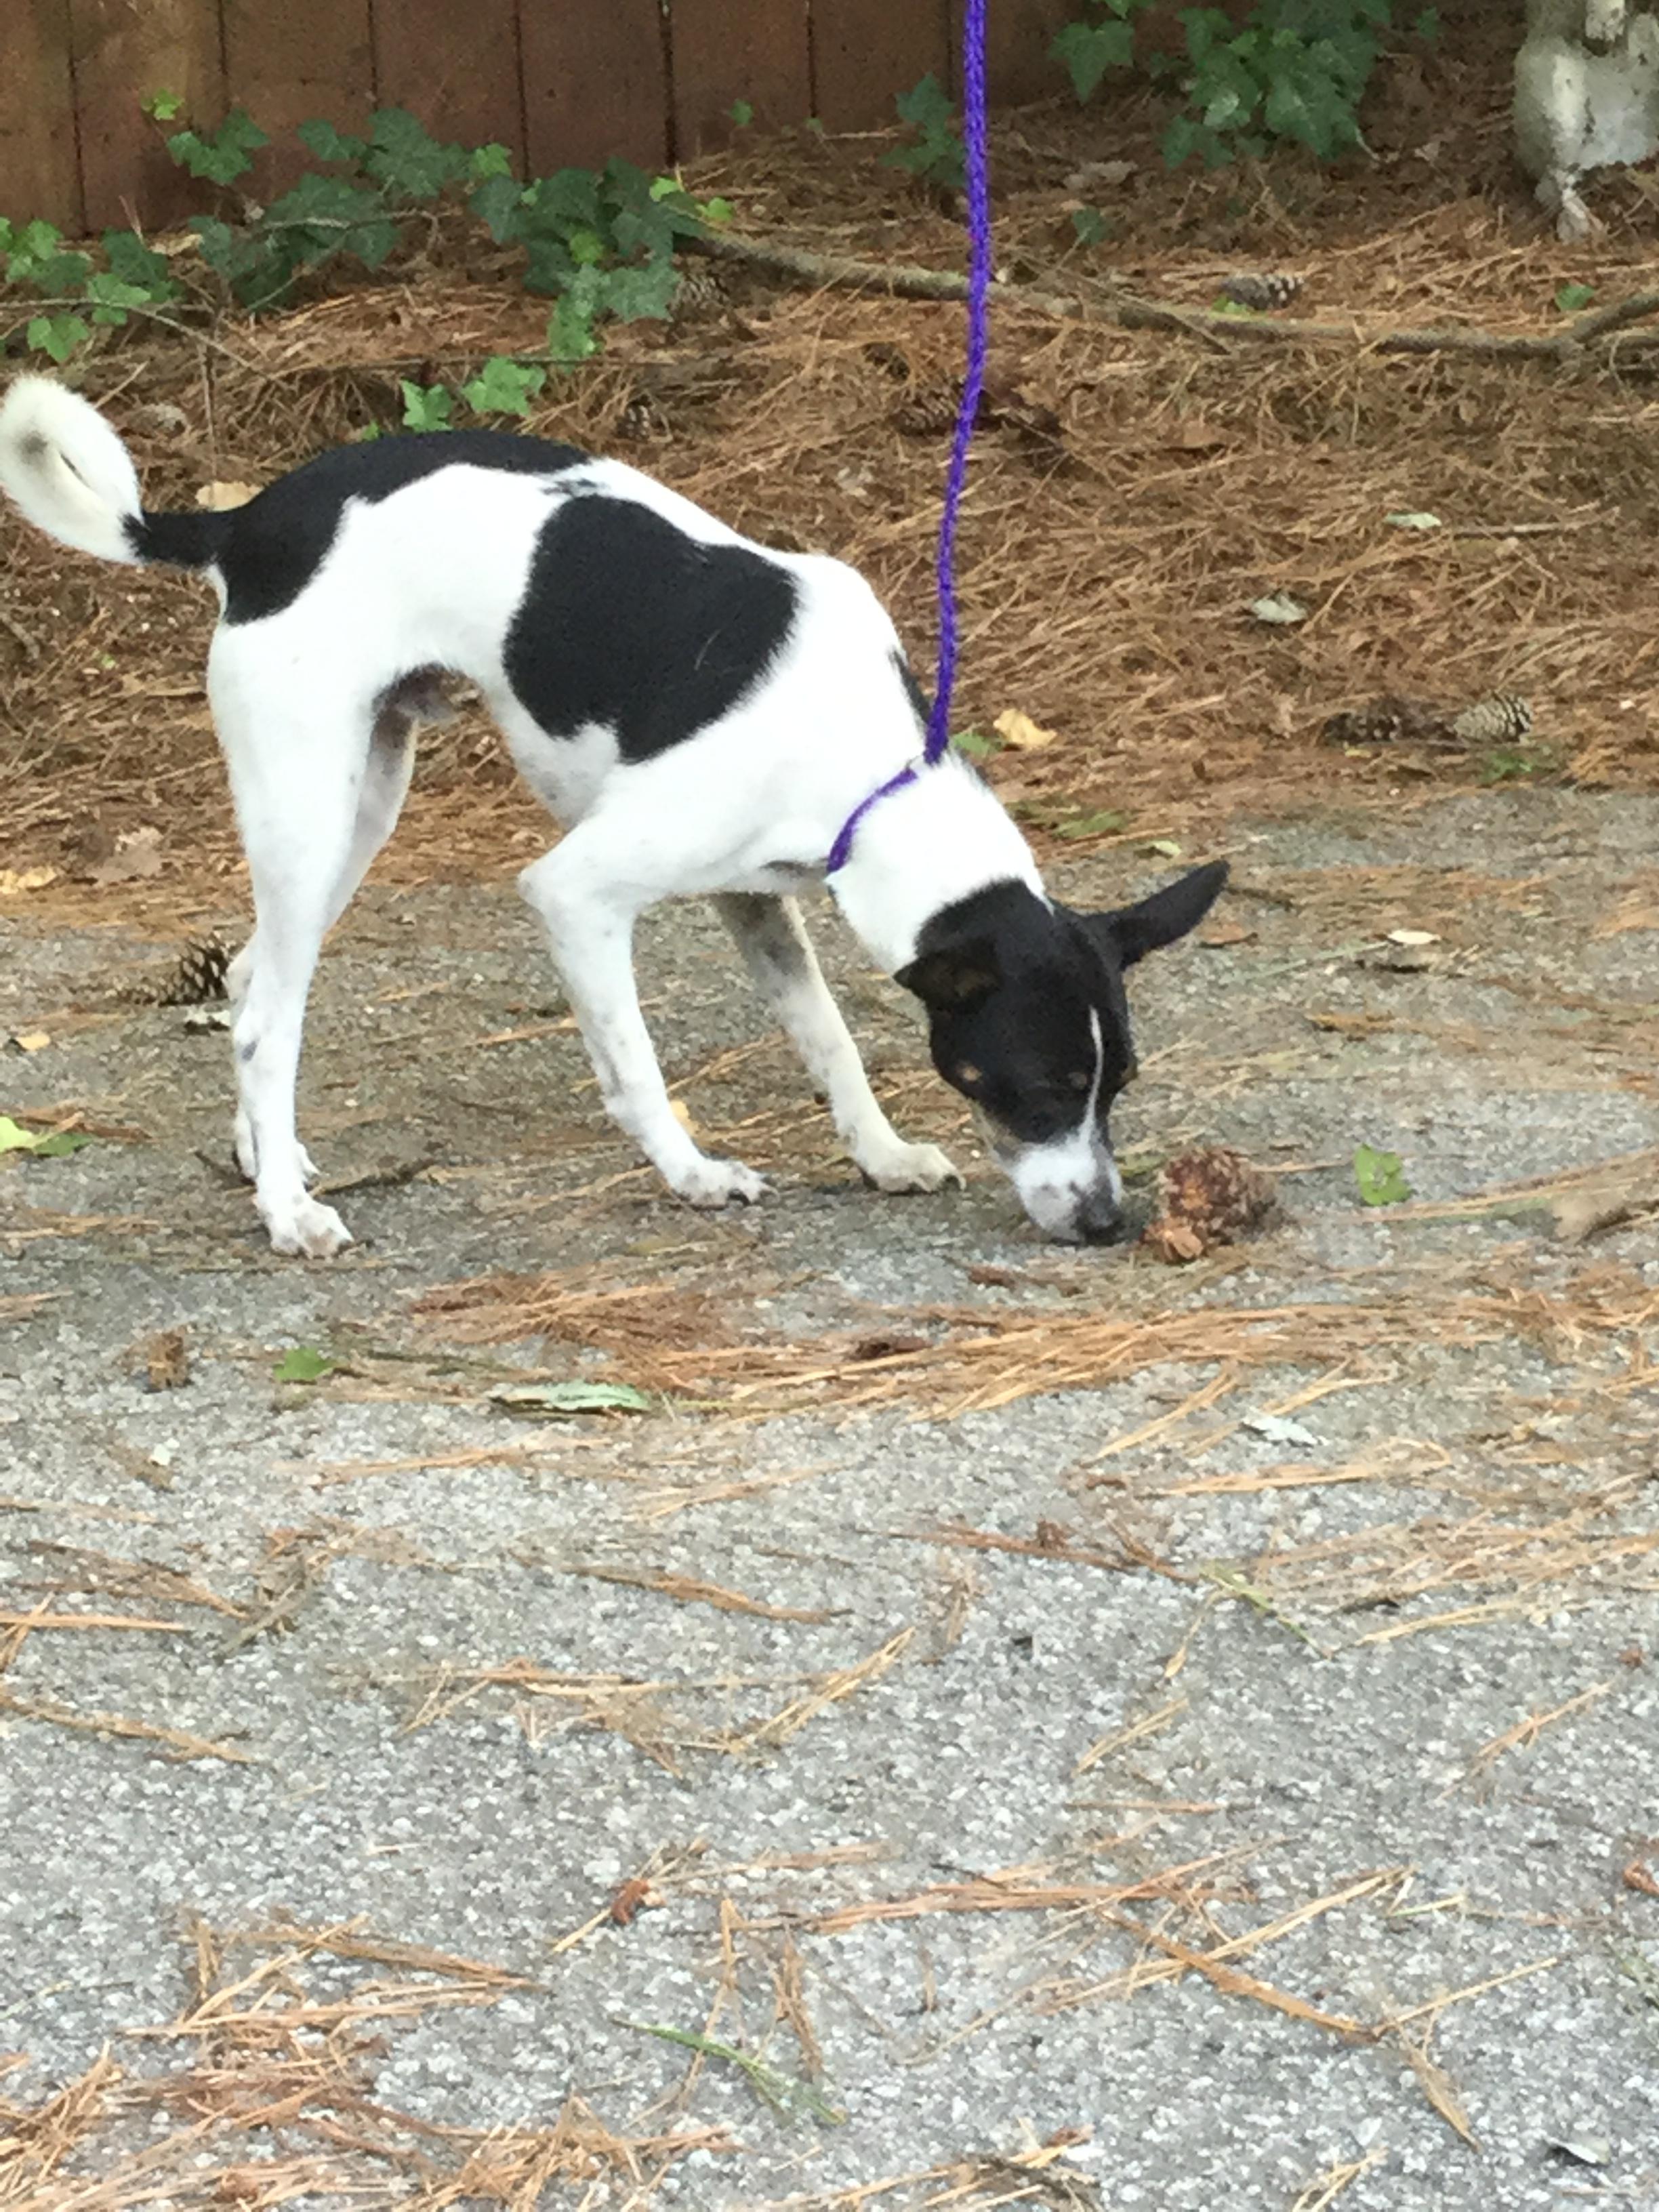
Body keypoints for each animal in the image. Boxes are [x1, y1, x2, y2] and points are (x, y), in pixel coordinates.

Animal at [0, 380, 1221, 1265]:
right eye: (1043, 1084)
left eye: (1117, 1088)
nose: (1107, 1221)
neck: (867, 766)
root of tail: (248, 526)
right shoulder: (577, 894)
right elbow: (633, 1059)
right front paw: (691, 1173)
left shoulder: (754, 898)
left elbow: (827, 1037)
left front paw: (878, 1154)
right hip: (309, 805)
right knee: (265, 1018)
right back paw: (288, 1214)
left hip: (361, 801)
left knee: (257, 975)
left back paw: (276, 1165)